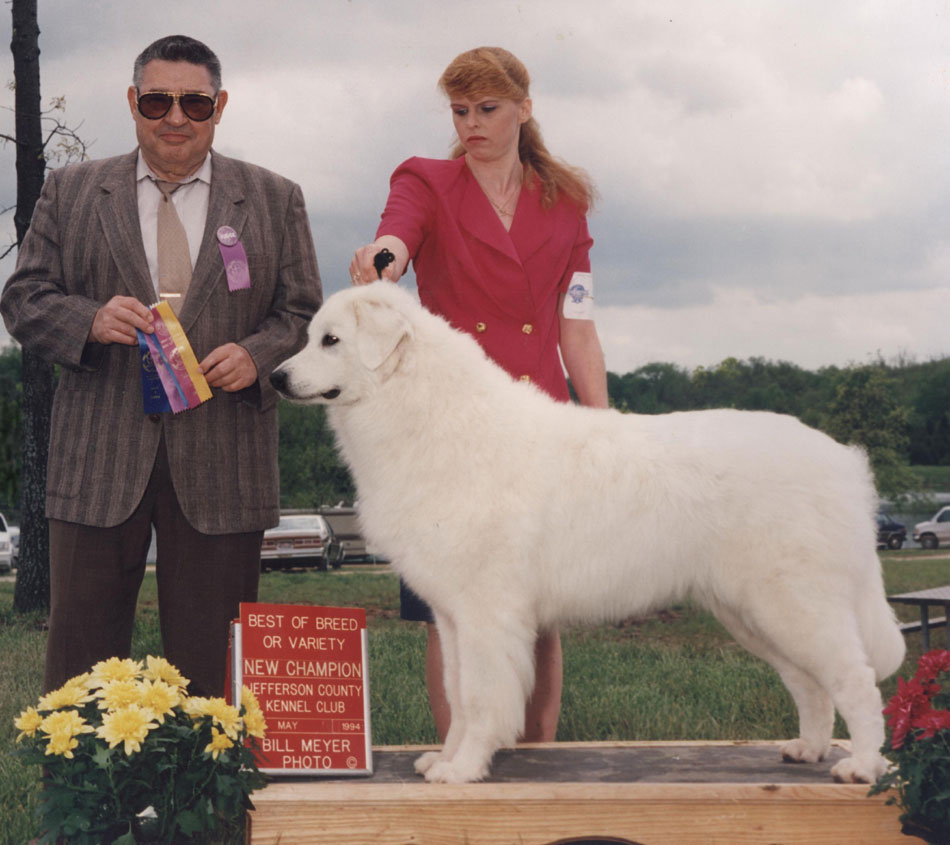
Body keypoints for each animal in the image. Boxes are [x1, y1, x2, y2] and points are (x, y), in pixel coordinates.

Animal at [274, 282, 908, 784]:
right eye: (311, 338)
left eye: (330, 341)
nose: (277, 377)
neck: (424, 412)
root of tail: (843, 462)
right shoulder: (451, 617)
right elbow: (457, 694)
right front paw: (446, 759)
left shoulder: (486, 614)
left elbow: (481, 698)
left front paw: (465, 769)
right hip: (754, 612)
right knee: (810, 684)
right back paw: (809, 749)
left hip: (795, 603)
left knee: (855, 680)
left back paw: (862, 766)